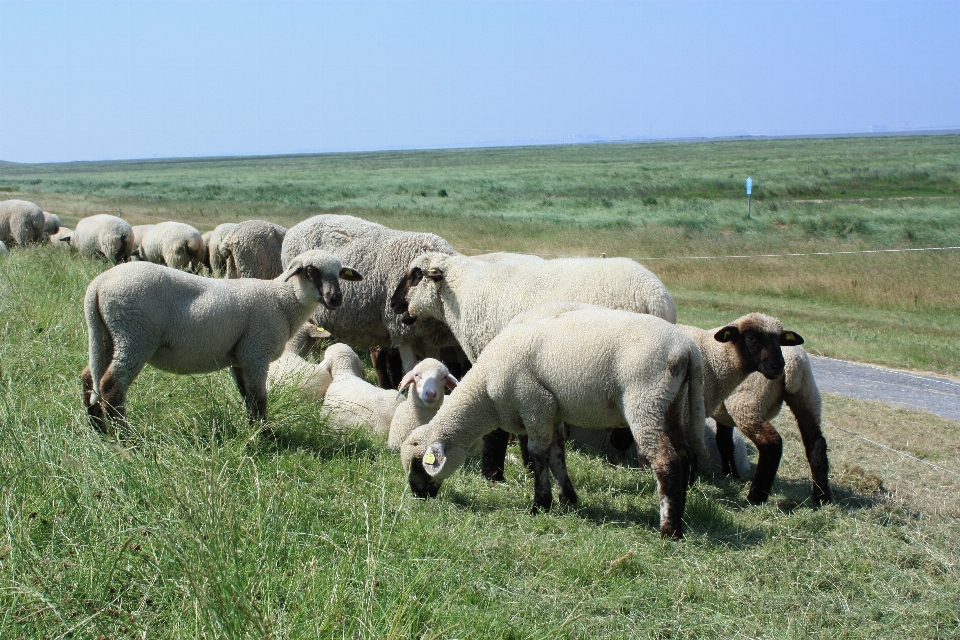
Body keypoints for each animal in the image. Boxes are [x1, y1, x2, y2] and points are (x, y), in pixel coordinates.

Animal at [79, 248, 362, 432]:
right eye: (312, 271)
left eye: (340, 273)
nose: (336, 299)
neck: (281, 301)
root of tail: (98, 284)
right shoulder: (256, 352)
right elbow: (259, 398)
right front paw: (263, 436)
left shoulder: (240, 357)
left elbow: (247, 397)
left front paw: (253, 429)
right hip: (135, 336)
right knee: (111, 386)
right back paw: (126, 437)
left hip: (107, 336)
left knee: (89, 377)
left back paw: (99, 429)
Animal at [402, 304, 708, 540]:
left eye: (420, 463)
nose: (417, 495)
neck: (485, 389)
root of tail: (687, 348)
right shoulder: (553, 410)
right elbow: (558, 454)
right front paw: (567, 498)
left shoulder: (534, 404)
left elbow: (538, 454)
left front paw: (540, 504)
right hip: (670, 403)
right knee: (683, 454)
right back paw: (681, 515)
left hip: (644, 399)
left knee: (666, 461)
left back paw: (669, 530)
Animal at [708, 344, 828, 504]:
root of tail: (793, 361)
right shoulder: (721, 413)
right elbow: (724, 441)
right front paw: (730, 475)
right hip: (806, 395)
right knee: (816, 443)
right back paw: (822, 497)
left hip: (748, 402)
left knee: (772, 444)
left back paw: (756, 497)